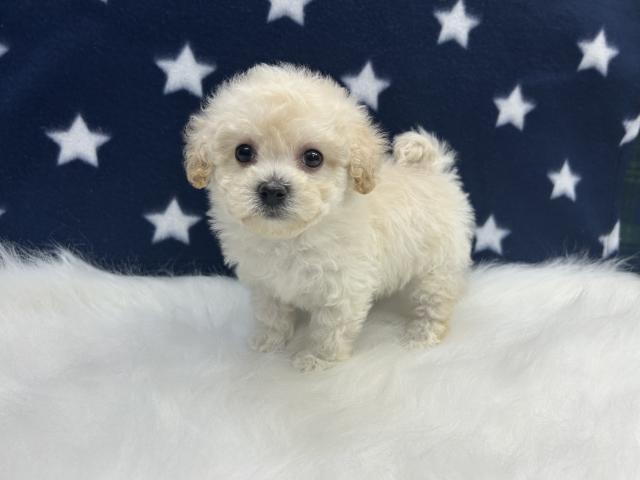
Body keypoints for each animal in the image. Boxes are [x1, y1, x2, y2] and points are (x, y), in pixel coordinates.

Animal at [183, 64, 475, 372]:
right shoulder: (266, 284)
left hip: (438, 265)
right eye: (243, 152)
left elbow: (329, 329)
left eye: (313, 157)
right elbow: (271, 314)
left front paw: (317, 360)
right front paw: (268, 343)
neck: (290, 237)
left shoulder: (343, 289)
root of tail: (433, 170)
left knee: (436, 301)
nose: (272, 190)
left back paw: (423, 335)